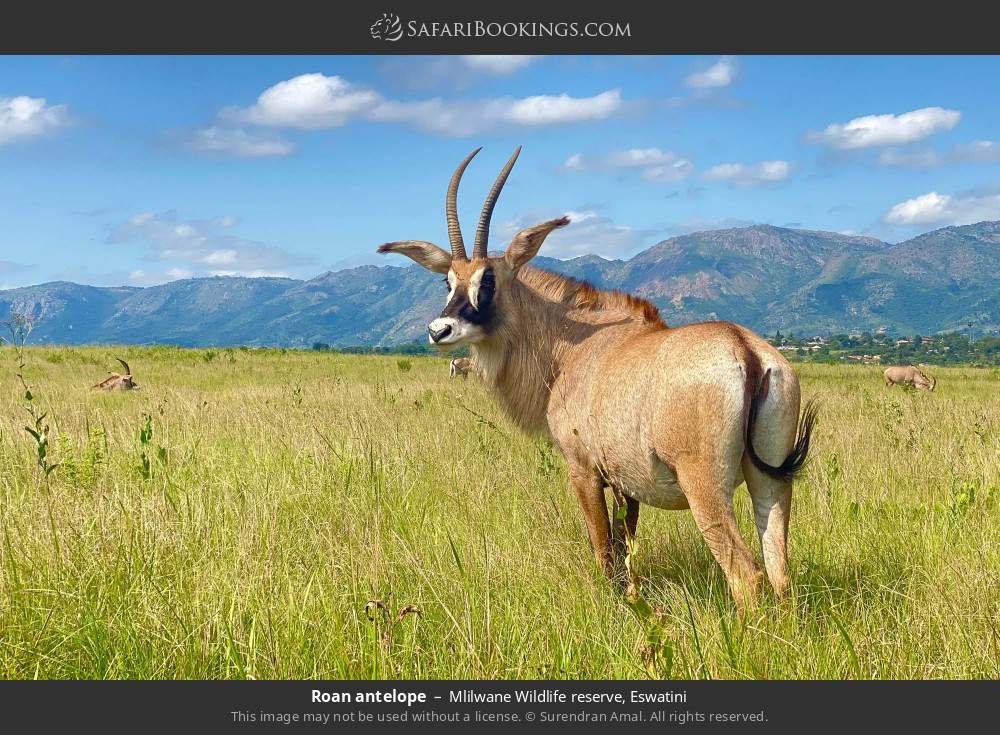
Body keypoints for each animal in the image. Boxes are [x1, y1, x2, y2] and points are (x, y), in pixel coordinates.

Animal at [378, 148, 816, 608]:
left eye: (489, 279)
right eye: (447, 280)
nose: (439, 330)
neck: (572, 346)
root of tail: (744, 348)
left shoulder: (583, 470)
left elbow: (604, 550)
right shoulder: (627, 483)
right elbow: (625, 550)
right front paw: (633, 599)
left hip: (705, 487)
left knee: (747, 576)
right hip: (770, 483)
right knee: (780, 574)